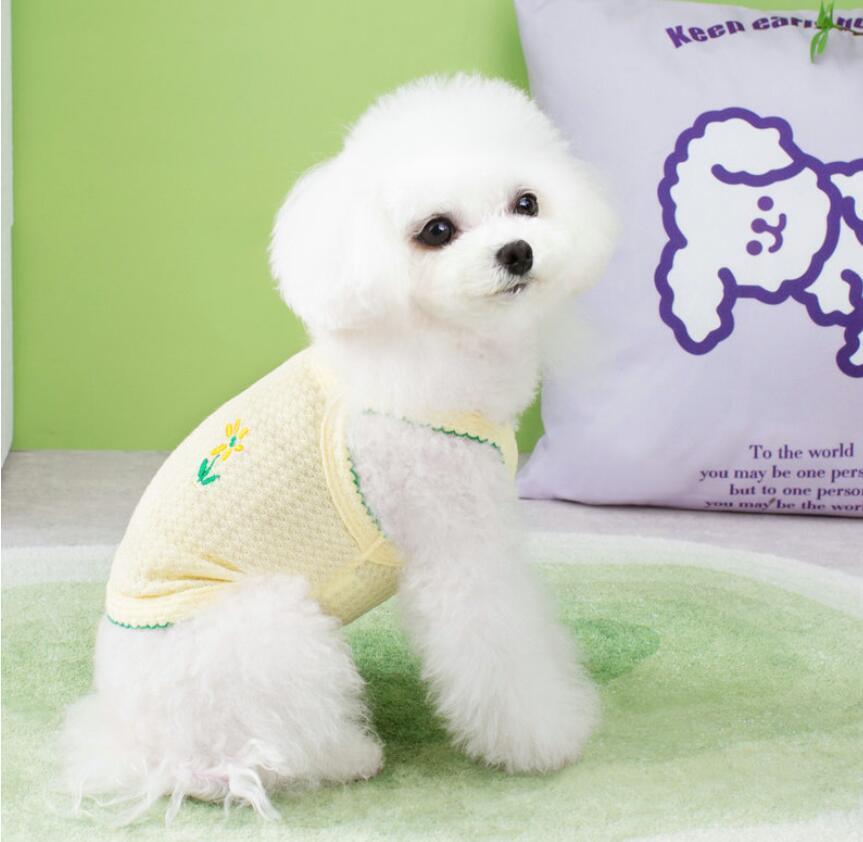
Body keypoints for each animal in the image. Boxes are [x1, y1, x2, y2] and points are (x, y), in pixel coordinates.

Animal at [59, 74, 617, 823]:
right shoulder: (457, 548)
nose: (517, 252)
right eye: (436, 230)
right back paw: (346, 757)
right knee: (242, 759)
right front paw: (544, 738)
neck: (436, 348)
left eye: (525, 203)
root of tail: (128, 738)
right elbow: (498, 647)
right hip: (269, 631)